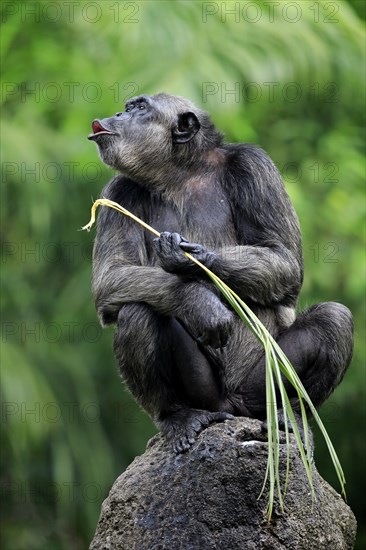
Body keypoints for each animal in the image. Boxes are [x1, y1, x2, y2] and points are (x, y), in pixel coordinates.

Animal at [87, 92, 354, 452]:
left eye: (139, 108)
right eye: (129, 107)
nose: (118, 114)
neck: (180, 173)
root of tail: (234, 407)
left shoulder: (254, 165)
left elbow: (283, 257)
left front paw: (191, 257)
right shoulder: (117, 192)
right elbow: (113, 274)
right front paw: (198, 302)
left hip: (262, 387)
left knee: (333, 319)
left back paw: (293, 416)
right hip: (207, 395)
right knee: (138, 312)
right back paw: (178, 417)